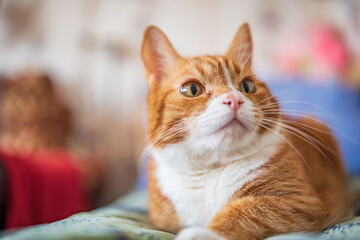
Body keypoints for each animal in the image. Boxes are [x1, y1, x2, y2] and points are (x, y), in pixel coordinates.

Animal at [140, 23, 348, 240]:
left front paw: (203, 233)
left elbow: (246, 209)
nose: (234, 99)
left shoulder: (302, 201)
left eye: (247, 86)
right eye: (192, 89)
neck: (212, 169)